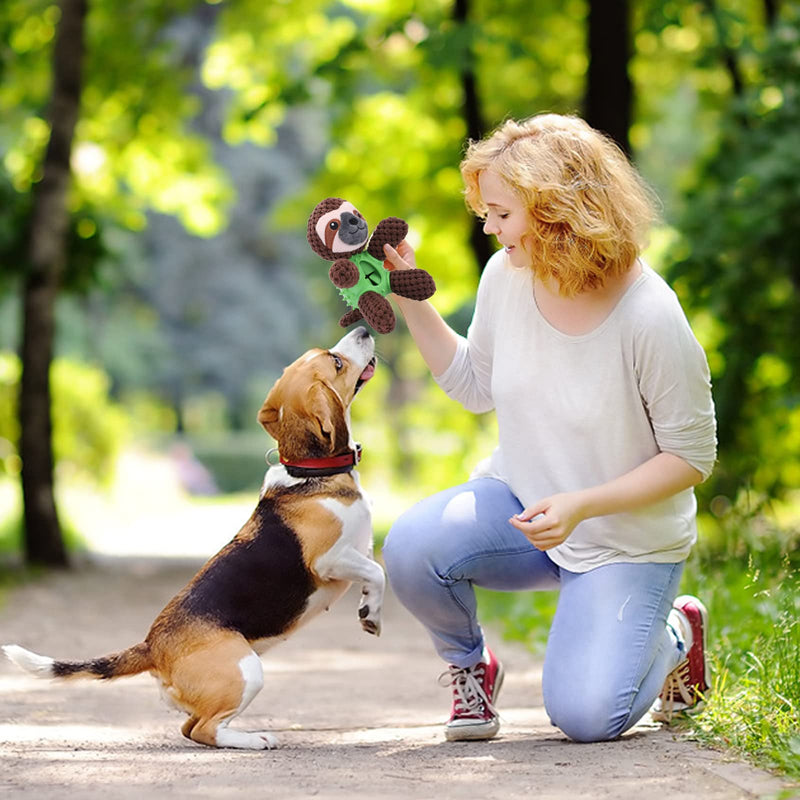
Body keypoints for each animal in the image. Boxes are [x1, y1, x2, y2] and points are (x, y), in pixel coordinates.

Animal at [2, 324, 384, 752]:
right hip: (246, 671)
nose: (363, 328)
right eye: (336, 362)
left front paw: (368, 608)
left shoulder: (359, 552)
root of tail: (152, 646)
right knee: (205, 729)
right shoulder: (329, 559)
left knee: (191, 728)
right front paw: (372, 615)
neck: (310, 472)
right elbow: (377, 571)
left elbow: (373, 571)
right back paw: (255, 739)